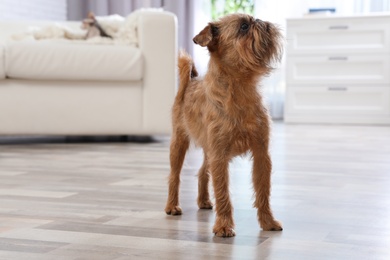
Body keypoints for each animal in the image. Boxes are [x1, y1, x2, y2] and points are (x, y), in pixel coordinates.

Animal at [165, 14, 284, 238]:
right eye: (244, 26)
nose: (260, 21)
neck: (240, 88)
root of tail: (190, 82)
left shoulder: (261, 154)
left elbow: (263, 192)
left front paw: (268, 222)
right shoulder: (220, 156)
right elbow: (222, 192)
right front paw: (223, 226)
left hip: (208, 149)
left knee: (203, 171)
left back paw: (203, 200)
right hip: (179, 143)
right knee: (174, 176)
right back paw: (172, 205)